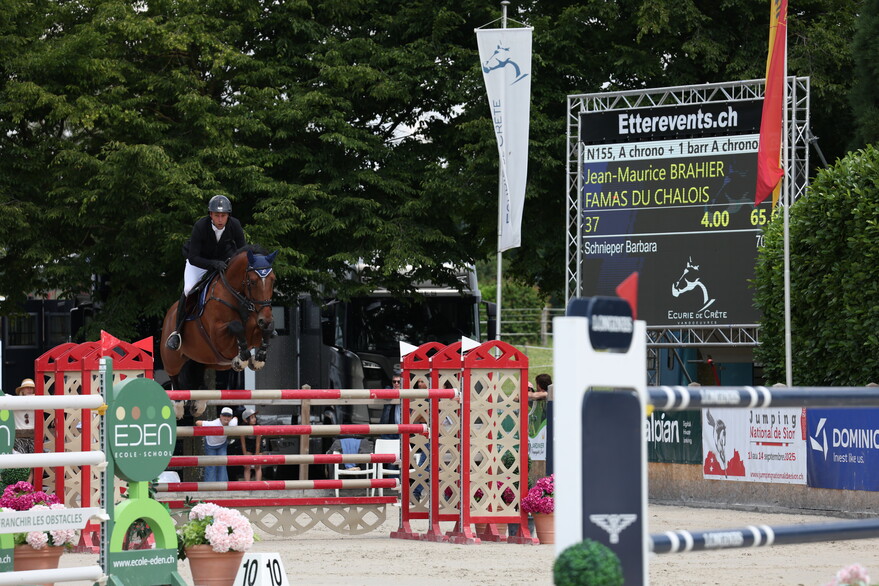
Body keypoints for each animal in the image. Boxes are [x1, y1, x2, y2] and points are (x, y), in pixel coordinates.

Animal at [161, 245, 278, 414]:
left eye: (273, 280)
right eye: (253, 281)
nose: (265, 318)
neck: (240, 297)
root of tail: (169, 314)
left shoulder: (254, 330)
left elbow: (264, 331)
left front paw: (258, 359)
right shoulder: (218, 338)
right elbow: (236, 326)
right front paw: (241, 360)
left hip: (205, 360)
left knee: (198, 375)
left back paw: (199, 403)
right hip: (172, 357)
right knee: (174, 376)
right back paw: (178, 406)